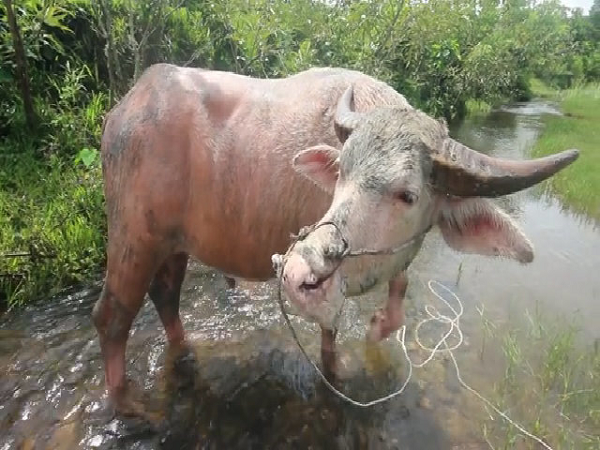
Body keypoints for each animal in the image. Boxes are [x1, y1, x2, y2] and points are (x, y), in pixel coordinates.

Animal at [92, 63, 576, 414]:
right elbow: (329, 334)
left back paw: (184, 349)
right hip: (134, 239)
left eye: (408, 194)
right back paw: (125, 401)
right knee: (112, 316)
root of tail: (123, 111)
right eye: (341, 170)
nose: (296, 271)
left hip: (174, 246)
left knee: (166, 298)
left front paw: (380, 324)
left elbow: (400, 288)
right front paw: (338, 369)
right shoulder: (327, 288)